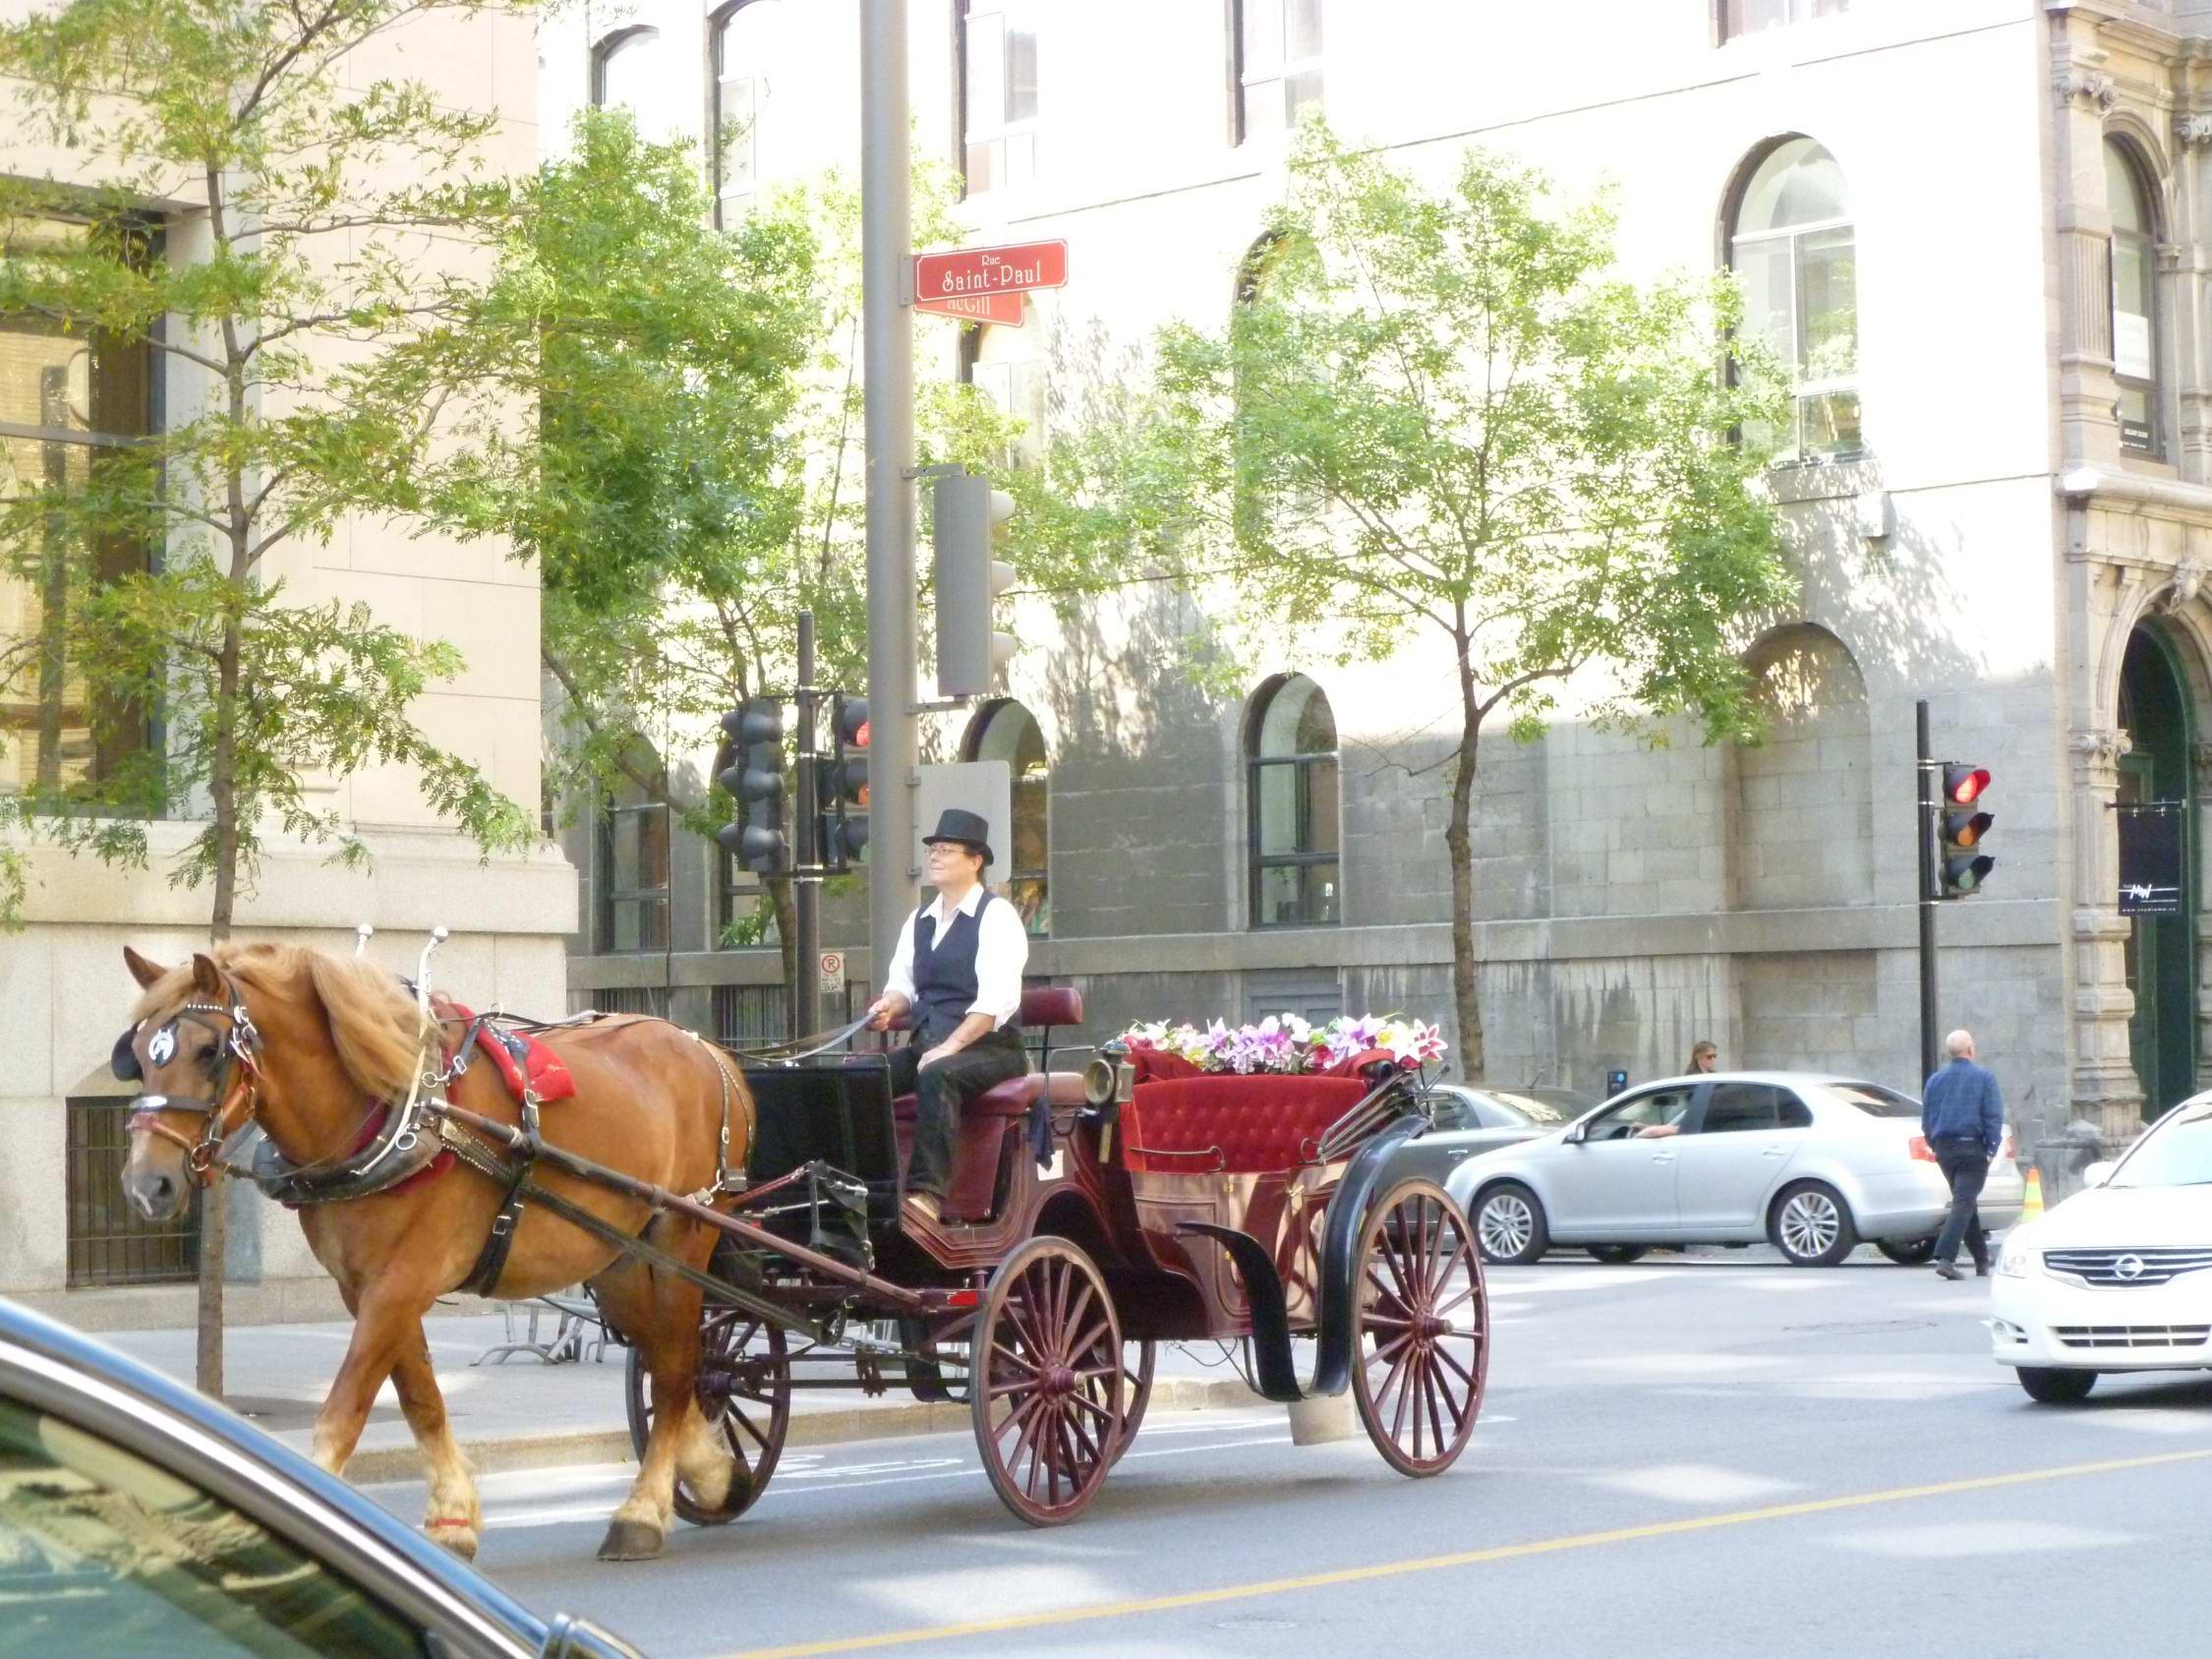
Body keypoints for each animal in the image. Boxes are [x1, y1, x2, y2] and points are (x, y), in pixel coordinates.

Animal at [116, 942, 756, 1566]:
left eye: (209, 1051)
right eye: (141, 1056)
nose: (147, 1186)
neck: (391, 1115)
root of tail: (709, 1052)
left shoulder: (402, 1281)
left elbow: (345, 1410)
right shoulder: (366, 1288)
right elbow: (420, 1398)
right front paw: (452, 1519)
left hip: (680, 1239)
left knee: (674, 1368)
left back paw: (642, 1514)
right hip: (616, 1259)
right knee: (668, 1353)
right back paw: (711, 1470)